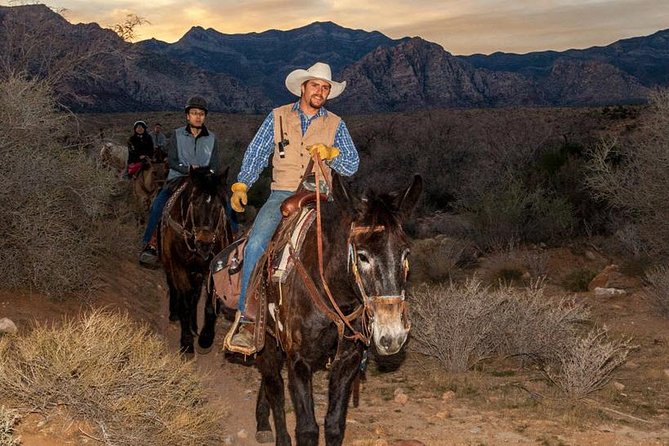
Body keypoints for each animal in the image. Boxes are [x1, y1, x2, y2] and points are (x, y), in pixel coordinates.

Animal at [159, 166, 232, 354]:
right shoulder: (179, 266)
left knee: (195, 294)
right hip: (169, 264)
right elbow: (184, 302)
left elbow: (210, 304)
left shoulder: (213, 269)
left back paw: (193, 325)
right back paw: (174, 314)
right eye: (195, 202)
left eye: (219, 204)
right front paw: (186, 342)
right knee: (175, 288)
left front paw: (206, 337)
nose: (204, 243)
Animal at [253, 173, 420, 446]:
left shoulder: (348, 360)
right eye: (362, 255)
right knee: (274, 386)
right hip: (264, 340)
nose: (392, 336)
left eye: (405, 253)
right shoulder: (299, 361)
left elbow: (334, 425)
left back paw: (262, 422)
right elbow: (307, 429)